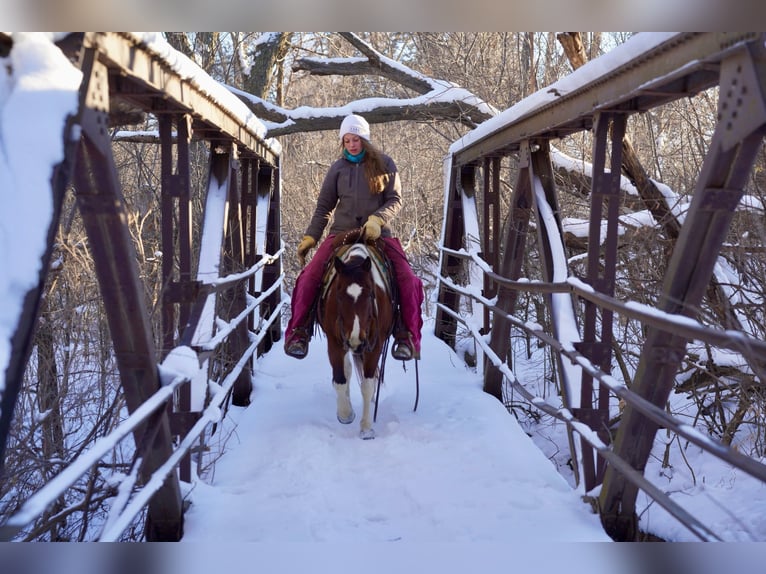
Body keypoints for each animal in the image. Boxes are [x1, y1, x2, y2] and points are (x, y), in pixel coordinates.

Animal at [318, 232, 396, 438]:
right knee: (347, 371)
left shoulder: (375, 345)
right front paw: (345, 414)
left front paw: (366, 428)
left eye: (370, 294)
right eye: (338, 295)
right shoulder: (334, 342)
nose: (355, 338)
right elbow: (340, 379)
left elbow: (368, 385)